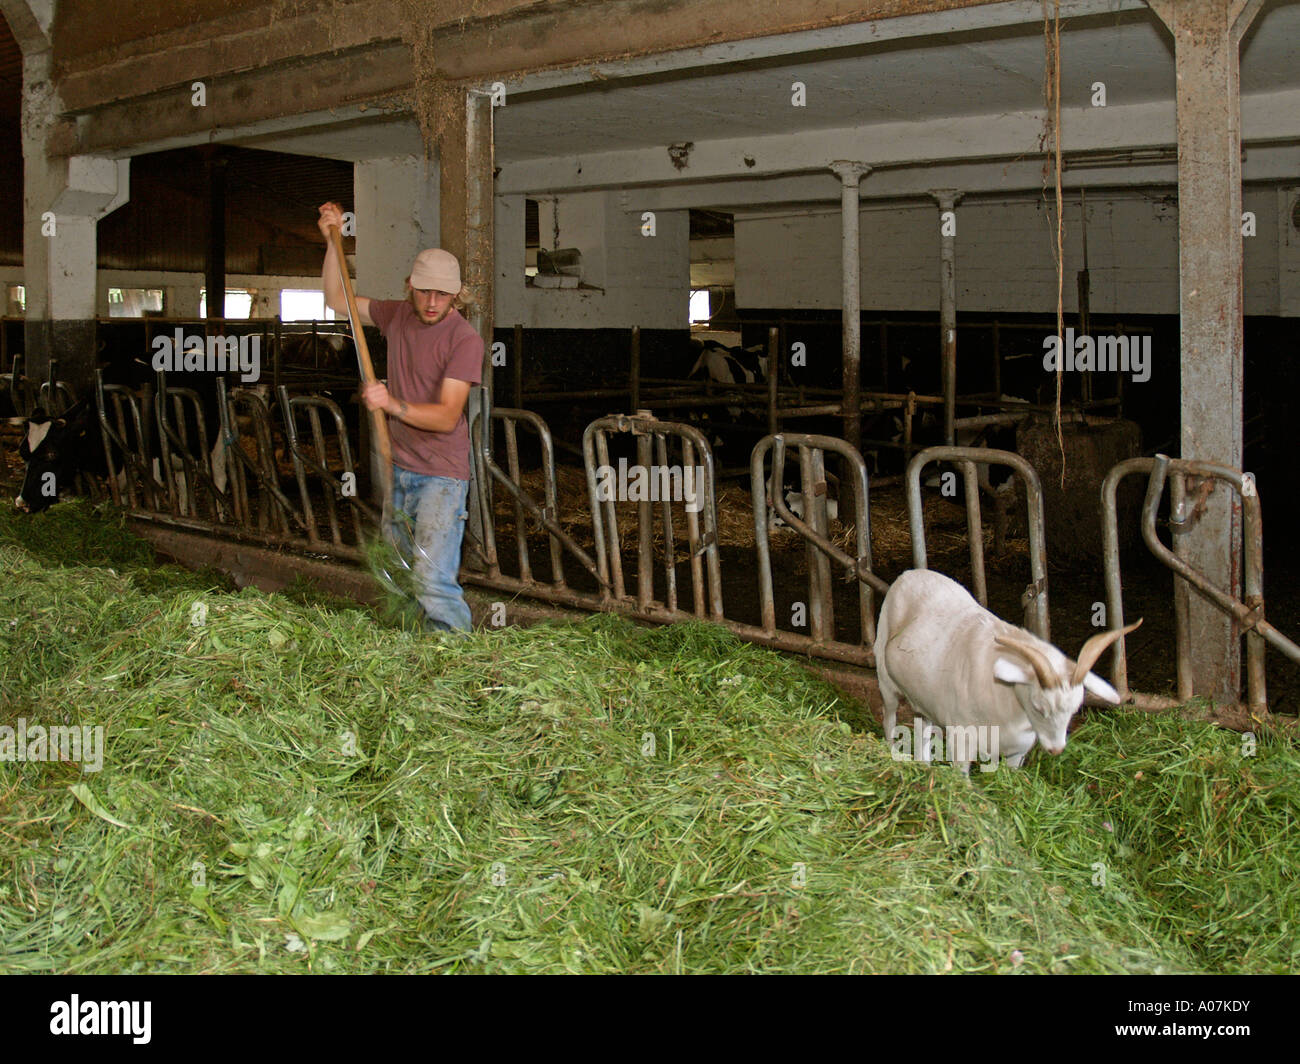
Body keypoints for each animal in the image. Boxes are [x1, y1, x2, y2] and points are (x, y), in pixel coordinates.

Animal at [873, 572, 1138, 770]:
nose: (1056, 749)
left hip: (922, 700)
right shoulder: (962, 740)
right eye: (1038, 707)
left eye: (1075, 709)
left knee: (922, 732)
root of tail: (908, 575)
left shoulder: (1017, 753)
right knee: (890, 717)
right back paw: (892, 752)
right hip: (885, 680)